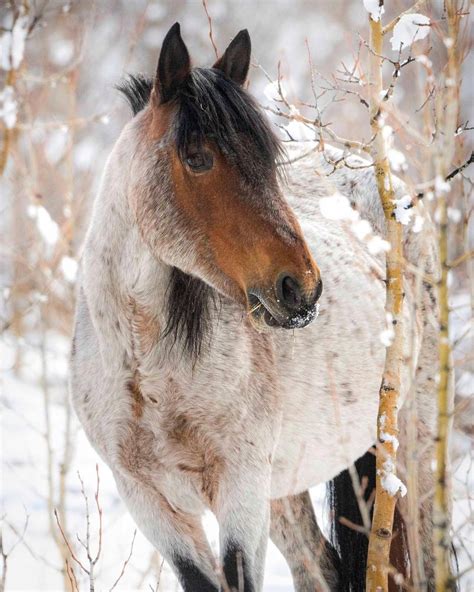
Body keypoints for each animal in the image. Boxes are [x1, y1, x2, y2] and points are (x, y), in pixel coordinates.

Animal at [70, 24, 440, 592]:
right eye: (197, 156)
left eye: (268, 161)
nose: (302, 289)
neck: (145, 366)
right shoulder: (151, 502)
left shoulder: (239, 490)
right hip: (284, 488)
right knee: (321, 569)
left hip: (401, 444)